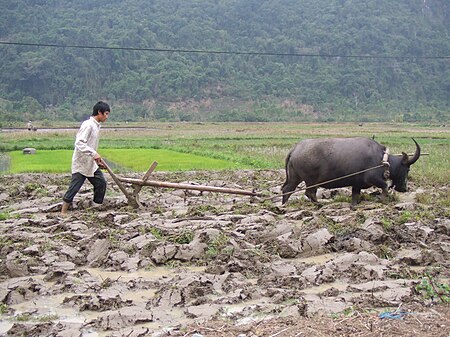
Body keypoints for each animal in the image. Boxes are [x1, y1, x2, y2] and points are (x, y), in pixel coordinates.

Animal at [284, 136, 420, 205]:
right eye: (407, 169)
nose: (404, 188)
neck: (382, 159)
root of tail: (295, 149)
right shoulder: (372, 178)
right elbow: (385, 186)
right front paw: (381, 199)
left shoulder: (356, 185)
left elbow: (355, 197)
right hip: (311, 181)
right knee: (309, 193)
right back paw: (319, 204)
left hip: (295, 178)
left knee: (287, 190)